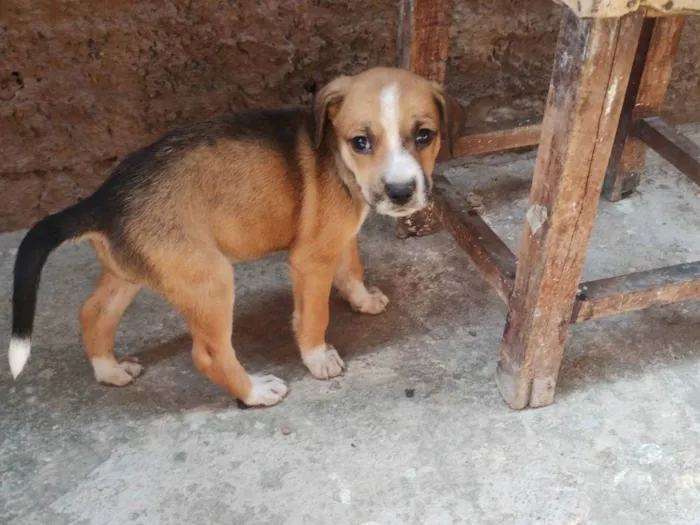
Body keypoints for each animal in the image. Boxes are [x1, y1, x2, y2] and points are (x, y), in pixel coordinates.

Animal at [8, 66, 464, 406]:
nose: (401, 193)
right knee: (207, 354)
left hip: (134, 271)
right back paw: (256, 392)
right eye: (361, 142)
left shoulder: (337, 237)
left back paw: (110, 369)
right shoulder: (309, 260)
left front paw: (364, 300)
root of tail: (103, 201)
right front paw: (318, 358)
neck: (335, 155)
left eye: (424, 135)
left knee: (93, 312)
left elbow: (352, 268)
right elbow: (314, 315)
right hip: (208, 279)